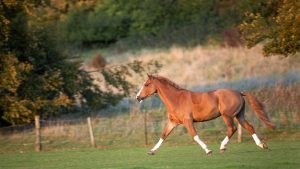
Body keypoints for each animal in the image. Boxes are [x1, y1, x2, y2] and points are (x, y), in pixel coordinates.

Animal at [136, 74, 274, 155]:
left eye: (146, 84)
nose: (138, 97)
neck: (176, 99)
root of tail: (239, 93)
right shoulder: (173, 122)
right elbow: (163, 136)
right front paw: (151, 151)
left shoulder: (188, 121)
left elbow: (195, 136)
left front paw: (208, 150)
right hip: (239, 115)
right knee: (249, 127)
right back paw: (262, 145)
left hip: (227, 116)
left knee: (232, 128)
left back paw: (222, 147)